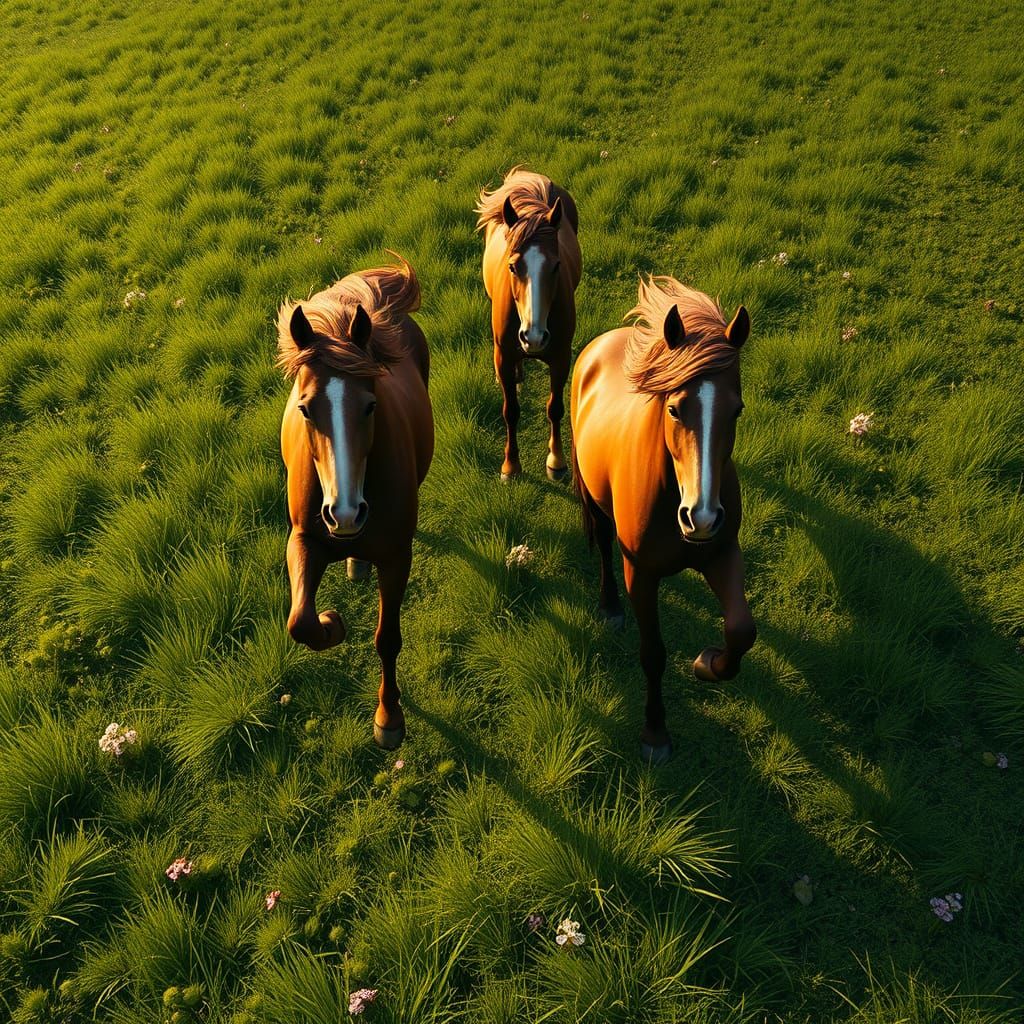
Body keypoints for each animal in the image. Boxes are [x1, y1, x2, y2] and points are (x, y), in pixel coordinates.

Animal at [277, 255, 433, 750]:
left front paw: (389, 718)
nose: (344, 514)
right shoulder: (303, 541)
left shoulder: (397, 556)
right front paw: (333, 623)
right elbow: (300, 621)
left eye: (370, 405)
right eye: (305, 408)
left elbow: (387, 639)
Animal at [476, 168, 582, 481]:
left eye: (556, 265)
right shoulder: (503, 355)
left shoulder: (561, 357)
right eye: (512, 266)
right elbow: (510, 410)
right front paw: (510, 466)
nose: (533, 338)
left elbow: (555, 408)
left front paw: (556, 462)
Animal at [571, 275, 756, 764]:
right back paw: (610, 608)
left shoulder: (723, 553)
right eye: (674, 409)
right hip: (595, 503)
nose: (702, 517)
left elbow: (741, 630)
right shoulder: (642, 573)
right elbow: (653, 653)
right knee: (602, 545)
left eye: (736, 409)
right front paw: (655, 734)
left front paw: (709, 663)